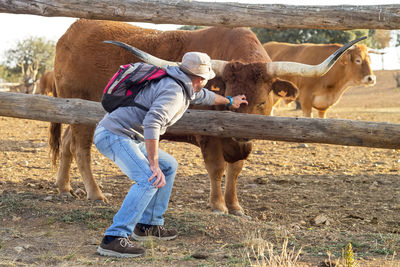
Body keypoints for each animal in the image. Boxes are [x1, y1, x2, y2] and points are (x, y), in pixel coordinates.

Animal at [50, 19, 366, 218]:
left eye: (263, 101)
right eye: (231, 96)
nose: (243, 132)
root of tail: (72, 30)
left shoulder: (240, 145)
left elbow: (235, 171)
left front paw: (235, 206)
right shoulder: (210, 136)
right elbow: (217, 169)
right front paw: (218, 205)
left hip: (72, 110)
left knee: (66, 145)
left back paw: (64, 188)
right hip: (81, 112)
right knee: (80, 149)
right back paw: (95, 193)